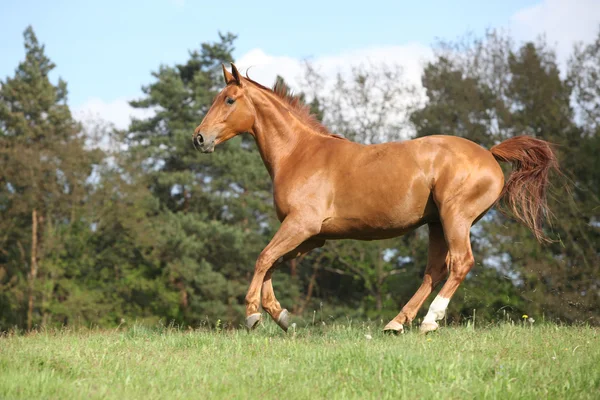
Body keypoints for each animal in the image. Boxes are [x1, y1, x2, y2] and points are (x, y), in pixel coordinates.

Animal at [195, 62, 560, 334]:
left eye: (229, 100)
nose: (199, 138)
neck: (300, 153)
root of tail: (489, 154)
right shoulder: (313, 236)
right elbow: (273, 261)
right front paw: (280, 315)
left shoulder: (302, 225)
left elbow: (263, 257)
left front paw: (253, 314)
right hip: (436, 224)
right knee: (435, 270)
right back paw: (397, 323)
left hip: (455, 218)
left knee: (460, 263)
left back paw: (429, 321)